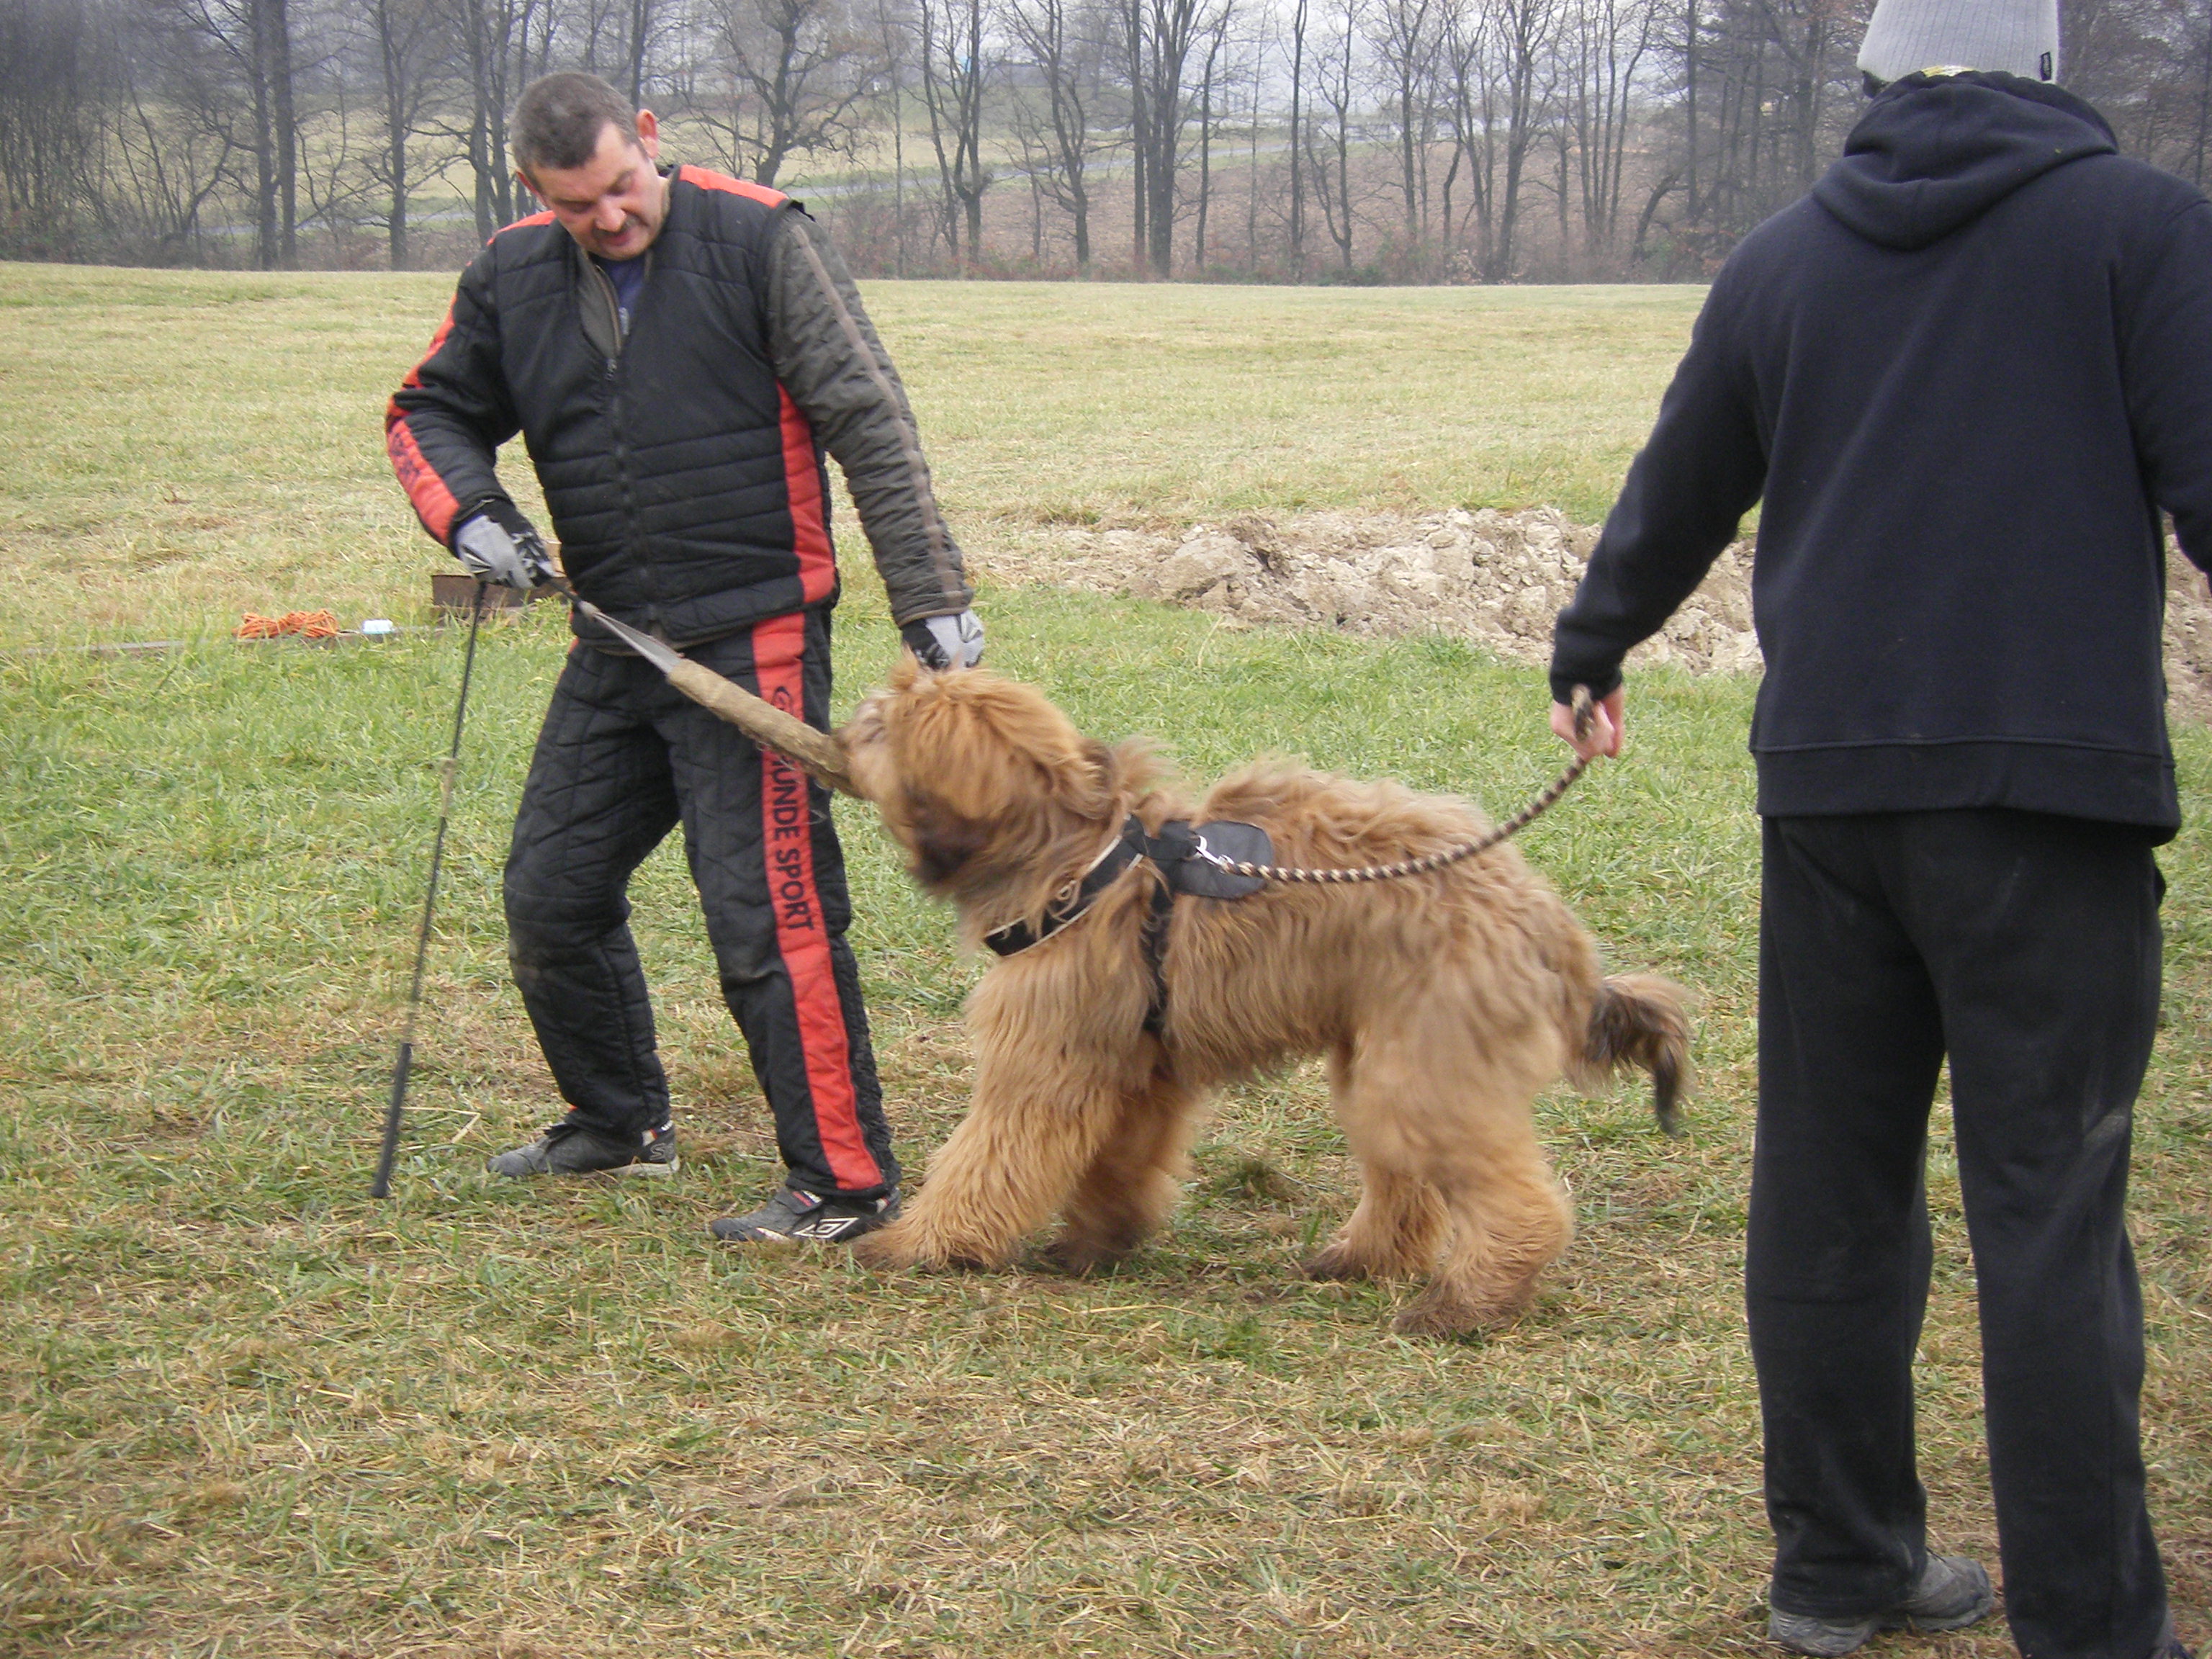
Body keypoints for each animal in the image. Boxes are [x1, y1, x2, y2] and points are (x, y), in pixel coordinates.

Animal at [836, 663, 1681, 1336]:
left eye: (879, 725)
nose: (840, 729)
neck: (1074, 853)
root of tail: (1541, 914)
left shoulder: (1048, 1055)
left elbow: (987, 1155)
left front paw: (920, 1244)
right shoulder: (1140, 1063)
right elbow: (1119, 1157)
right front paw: (1098, 1241)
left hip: (1427, 1065)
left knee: (1516, 1202)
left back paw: (1468, 1304)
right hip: (1389, 1055)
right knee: (1407, 1183)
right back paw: (1363, 1257)